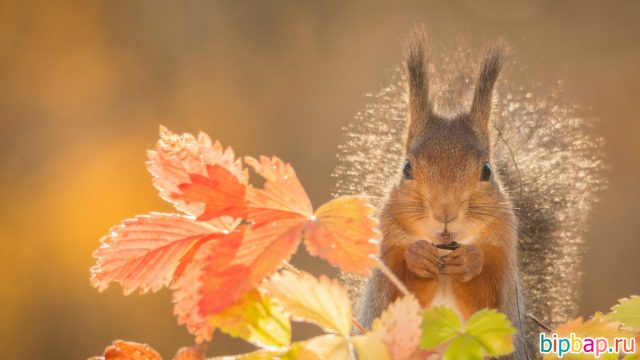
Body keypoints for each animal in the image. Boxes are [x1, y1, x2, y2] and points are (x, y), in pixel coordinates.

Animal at [340, 28, 604, 360]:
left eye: (487, 170)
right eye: (406, 168)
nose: (445, 213)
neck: (444, 248)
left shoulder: (504, 260)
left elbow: (489, 302)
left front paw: (470, 261)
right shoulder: (385, 255)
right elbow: (395, 296)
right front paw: (417, 257)